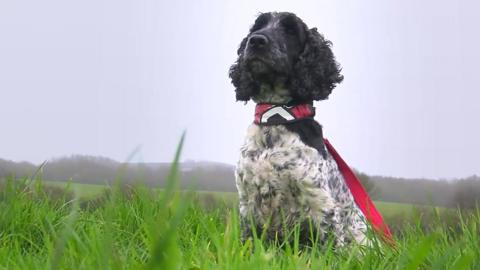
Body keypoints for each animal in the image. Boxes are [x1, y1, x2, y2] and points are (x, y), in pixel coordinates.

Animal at [229, 12, 368, 247]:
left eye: (290, 30)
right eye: (257, 27)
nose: (256, 41)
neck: (276, 117)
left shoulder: (320, 201)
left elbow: (330, 247)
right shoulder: (247, 200)